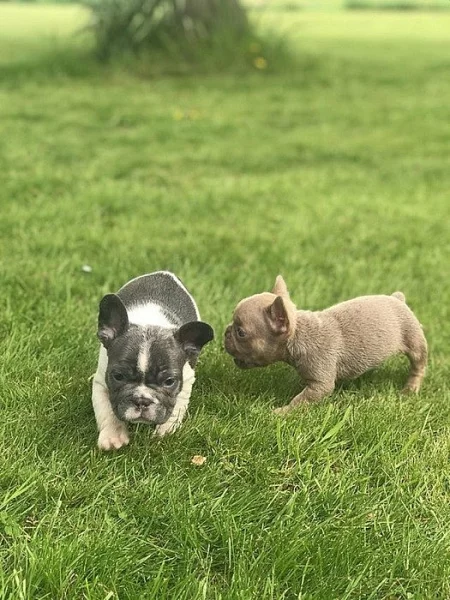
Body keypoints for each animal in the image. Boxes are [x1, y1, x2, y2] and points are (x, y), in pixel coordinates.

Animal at [92, 272, 214, 450]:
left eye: (169, 381)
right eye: (118, 376)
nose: (142, 401)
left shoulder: (185, 382)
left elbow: (175, 409)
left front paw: (165, 432)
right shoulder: (101, 382)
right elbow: (107, 411)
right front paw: (113, 436)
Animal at [225, 276, 428, 412]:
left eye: (240, 333)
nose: (226, 331)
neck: (301, 334)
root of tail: (397, 299)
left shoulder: (320, 385)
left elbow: (301, 400)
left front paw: (284, 412)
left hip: (414, 340)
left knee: (418, 365)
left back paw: (411, 388)